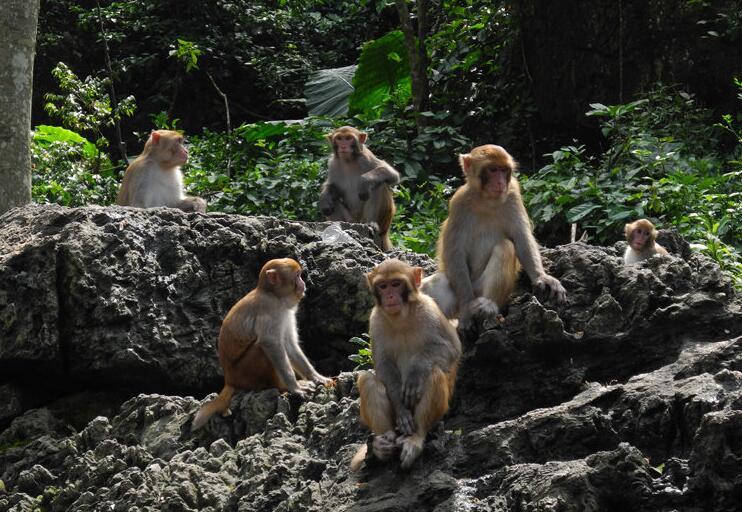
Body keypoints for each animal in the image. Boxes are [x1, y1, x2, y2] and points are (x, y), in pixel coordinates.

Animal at [192, 258, 332, 430]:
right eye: (297, 275)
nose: (303, 283)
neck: (274, 295)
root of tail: (229, 380)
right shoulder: (270, 308)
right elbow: (270, 342)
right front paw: (295, 388)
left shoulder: (285, 312)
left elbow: (289, 344)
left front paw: (317, 377)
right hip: (245, 373)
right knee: (261, 348)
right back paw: (282, 387)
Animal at [352, 260, 462, 472]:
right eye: (383, 286)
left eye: (396, 284)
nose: (390, 296)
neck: (401, 317)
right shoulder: (376, 320)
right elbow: (383, 366)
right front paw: (402, 410)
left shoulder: (430, 310)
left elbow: (451, 349)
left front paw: (415, 372)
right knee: (368, 380)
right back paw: (382, 442)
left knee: (433, 373)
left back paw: (416, 437)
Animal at [422, 144, 568, 324]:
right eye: (492, 169)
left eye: (503, 170)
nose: (500, 182)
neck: (486, 201)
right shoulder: (458, 203)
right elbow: (455, 254)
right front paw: (466, 311)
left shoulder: (513, 195)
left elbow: (522, 239)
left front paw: (542, 277)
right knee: (437, 281)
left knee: (505, 247)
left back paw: (488, 305)